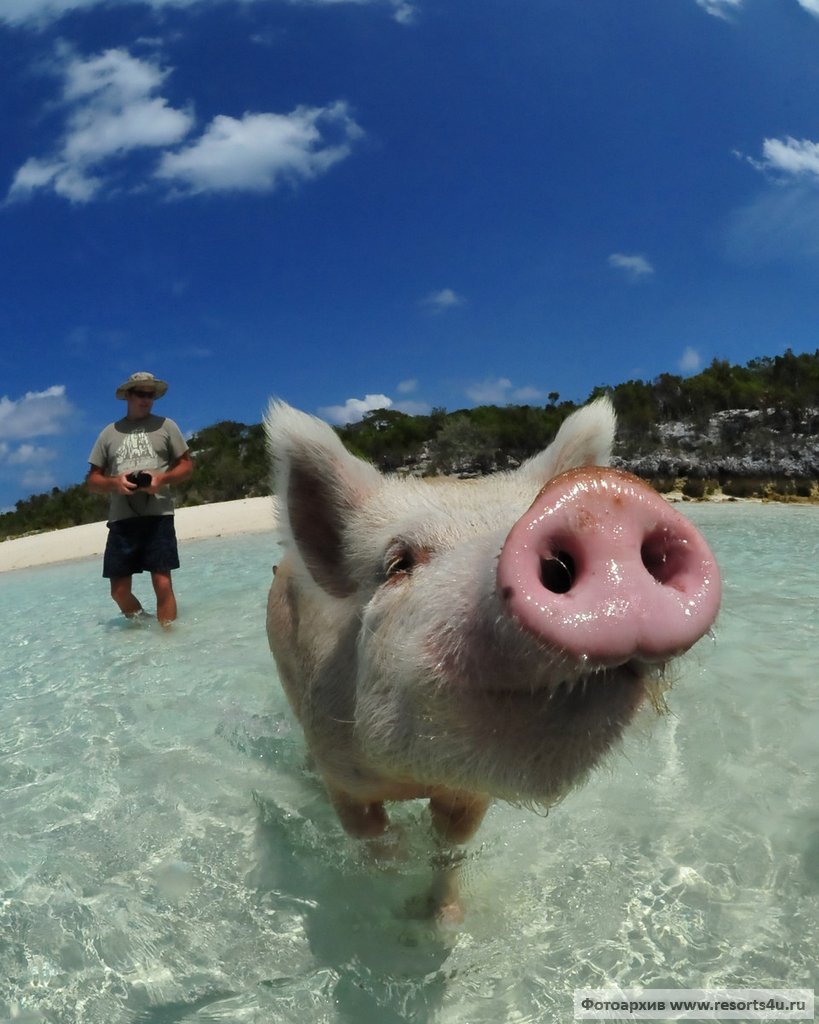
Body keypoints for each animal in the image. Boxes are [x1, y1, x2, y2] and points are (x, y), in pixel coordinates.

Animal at [266, 395, 720, 876]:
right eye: (399, 563)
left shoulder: (470, 794)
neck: (416, 775)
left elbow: (450, 846)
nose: (598, 498)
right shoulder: (344, 781)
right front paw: (391, 874)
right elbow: (373, 841)